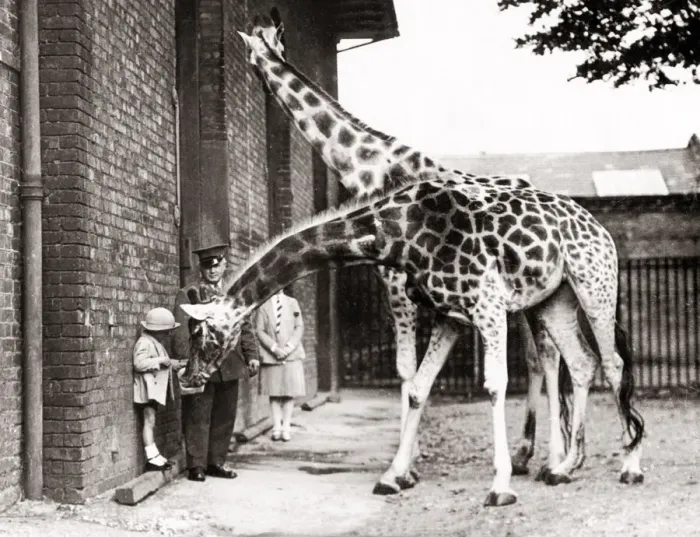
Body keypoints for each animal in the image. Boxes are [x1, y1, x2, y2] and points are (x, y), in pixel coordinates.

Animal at [178, 177, 645, 507]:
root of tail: (600, 228)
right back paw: (565, 467)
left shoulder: (488, 305)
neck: (397, 234)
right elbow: (420, 388)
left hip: (594, 285)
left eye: (202, 333)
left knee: (613, 364)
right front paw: (391, 477)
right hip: (555, 298)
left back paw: (630, 467)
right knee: (582, 363)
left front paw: (500, 486)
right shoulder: (449, 314)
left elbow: (494, 386)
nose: (187, 378)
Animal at [237, 14, 576, 485]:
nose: (256, 76)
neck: (370, 167)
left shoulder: (397, 282)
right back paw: (530, 455)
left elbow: (406, 368)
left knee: (548, 355)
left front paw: (405, 466)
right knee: (536, 357)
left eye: (258, 52)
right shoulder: (401, 284)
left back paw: (553, 461)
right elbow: (412, 371)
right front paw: (406, 462)